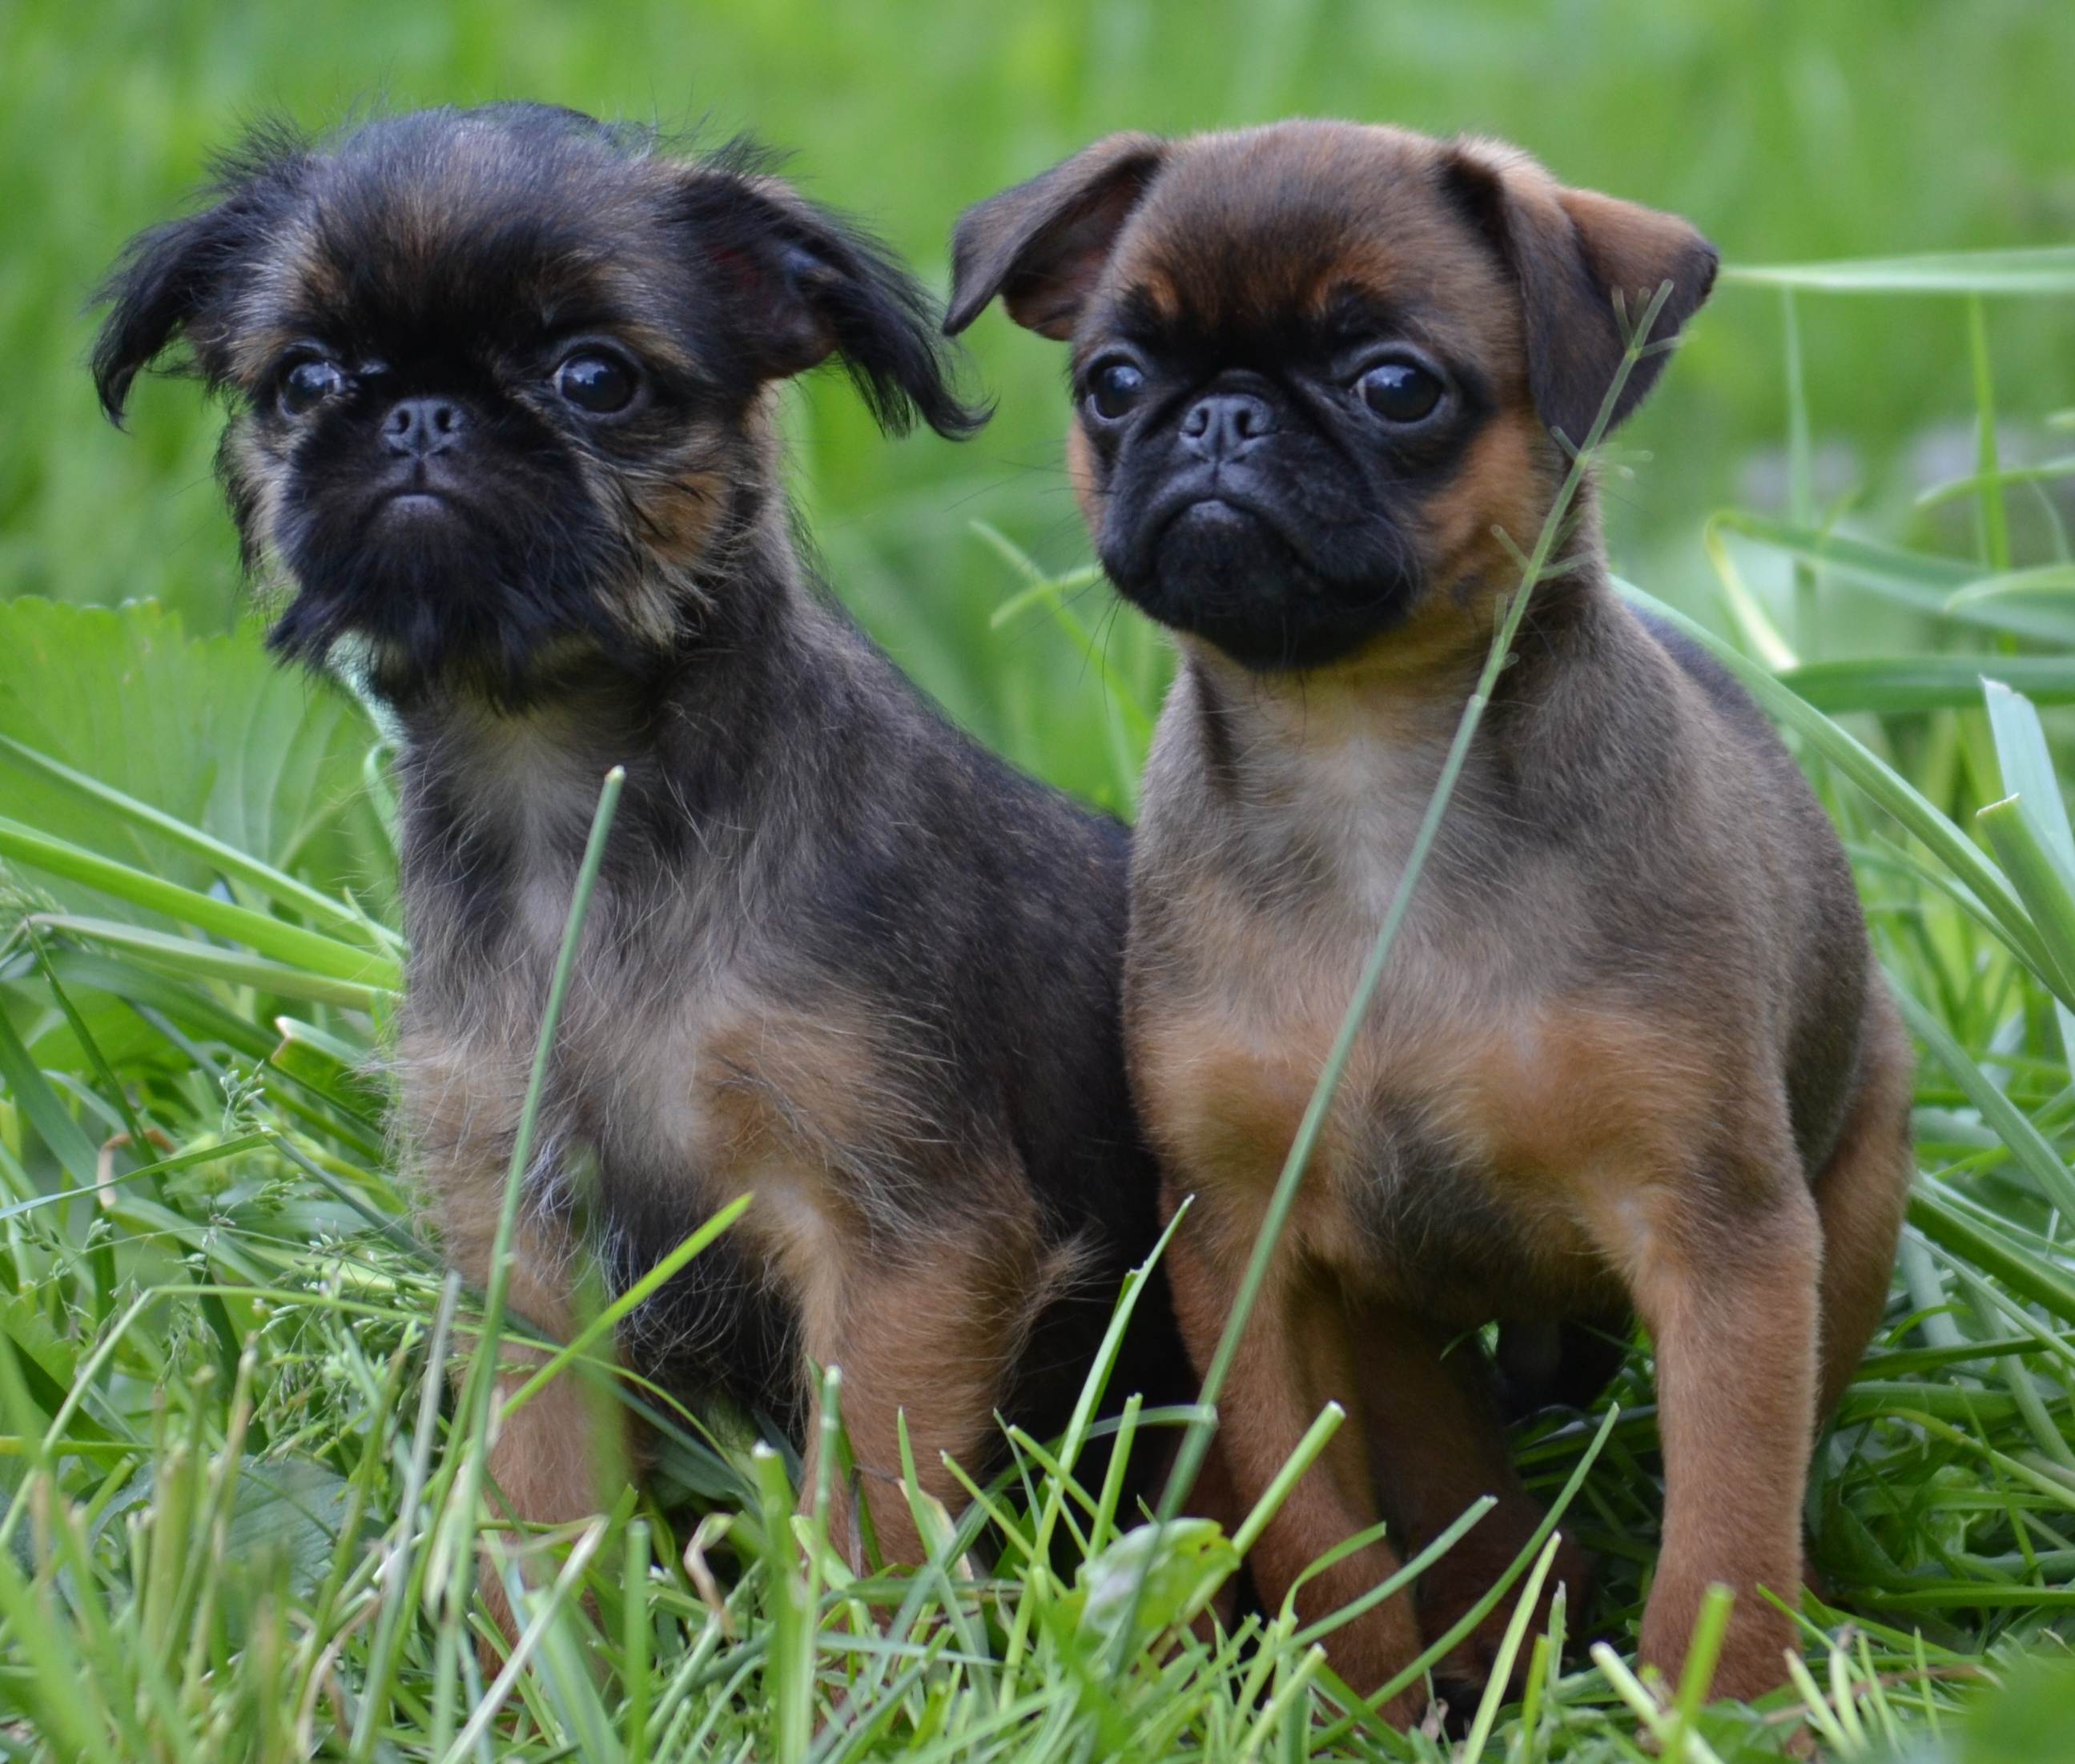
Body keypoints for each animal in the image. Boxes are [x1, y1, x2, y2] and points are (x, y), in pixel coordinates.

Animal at [97, 106, 1195, 1618]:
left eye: (594, 378)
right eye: (301, 378)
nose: (419, 411)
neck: (567, 798)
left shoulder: (907, 1243)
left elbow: (872, 1508)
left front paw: (852, 1655)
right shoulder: (529, 1250)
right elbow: (547, 1487)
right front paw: (541, 1645)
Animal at [950, 120, 1917, 1702]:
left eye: (1394, 386)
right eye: (1113, 382)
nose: (1218, 419)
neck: (1362, 761)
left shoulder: (1724, 1244)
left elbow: (1724, 1523)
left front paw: (1713, 1705)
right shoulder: (1247, 1255)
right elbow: (1317, 1534)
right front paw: (1353, 1707)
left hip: (1853, 1202)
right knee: (1454, 1477)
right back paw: (1499, 1624)